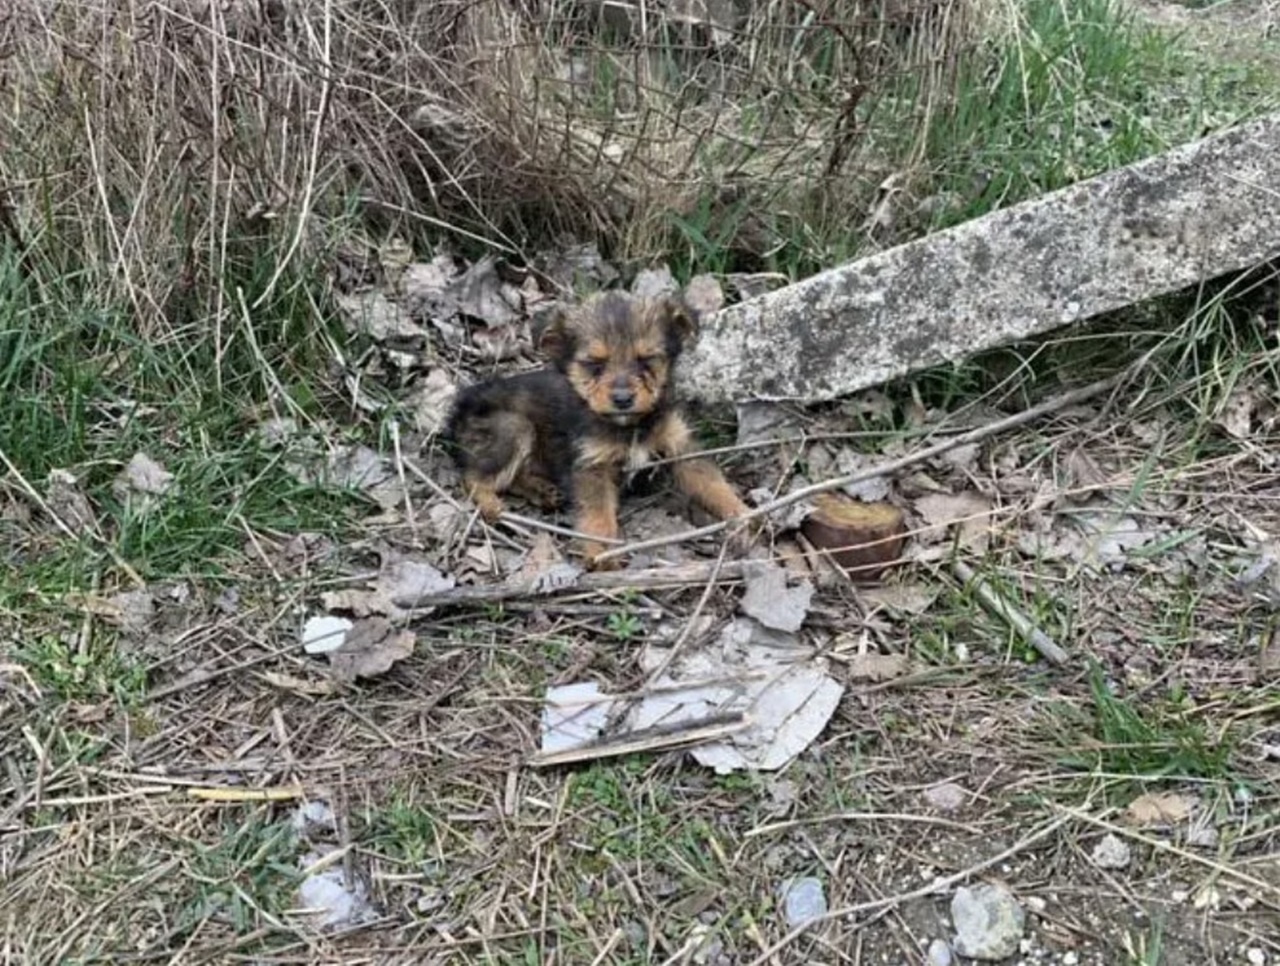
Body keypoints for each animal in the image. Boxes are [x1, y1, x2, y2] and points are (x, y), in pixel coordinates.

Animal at [445, 290, 752, 570]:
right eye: (594, 364)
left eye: (646, 359)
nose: (623, 399)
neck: (630, 425)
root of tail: (462, 403)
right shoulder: (592, 464)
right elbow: (598, 516)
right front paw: (602, 555)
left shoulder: (680, 446)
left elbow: (712, 483)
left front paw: (742, 514)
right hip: (513, 427)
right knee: (473, 477)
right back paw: (491, 504)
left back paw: (542, 491)